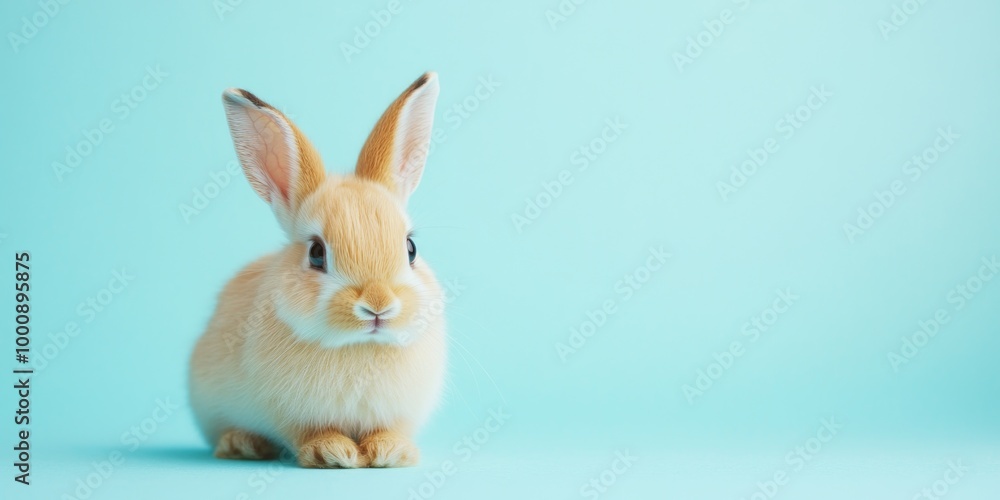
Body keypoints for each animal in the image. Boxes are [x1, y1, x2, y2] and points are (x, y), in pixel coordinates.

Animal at [189, 73, 447, 468]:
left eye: (410, 249)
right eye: (316, 253)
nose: (378, 305)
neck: (358, 346)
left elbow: (387, 431)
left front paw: (391, 452)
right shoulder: (289, 414)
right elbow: (309, 433)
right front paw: (332, 453)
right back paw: (243, 444)